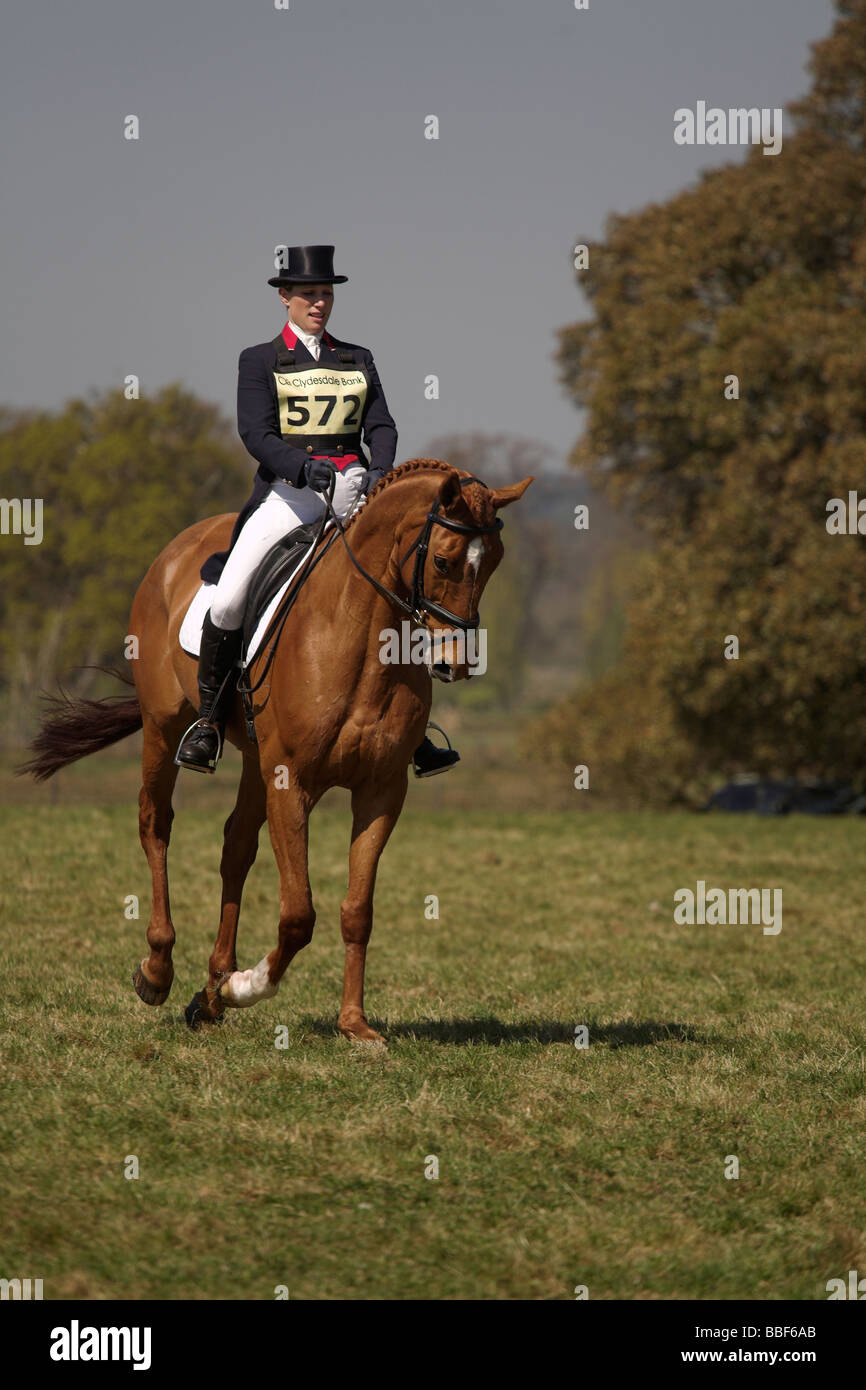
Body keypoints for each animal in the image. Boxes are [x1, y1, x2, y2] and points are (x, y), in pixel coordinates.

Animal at [25, 461, 528, 1039]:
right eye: (443, 560)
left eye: (494, 562)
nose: (456, 662)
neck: (360, 638)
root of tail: (176, 549)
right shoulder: (292, 783)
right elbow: (298, 914)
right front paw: (247, 987)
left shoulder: (381, 791)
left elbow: (357, 910)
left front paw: (353, 1025)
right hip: (162, 729)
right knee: (156, 824)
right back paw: (159, 971)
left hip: (251, 760)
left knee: (235, 848)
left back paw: (210, 992)